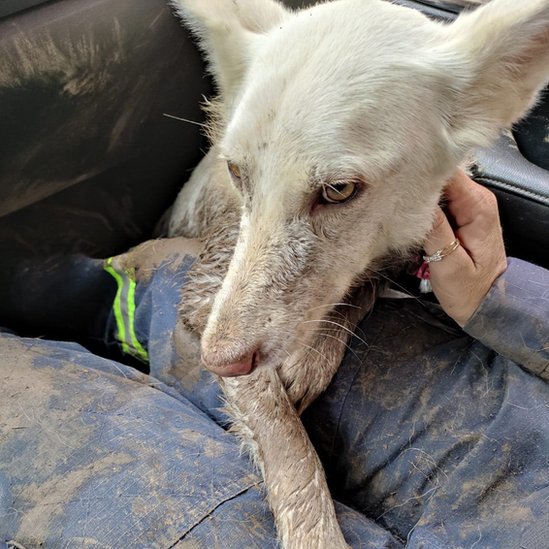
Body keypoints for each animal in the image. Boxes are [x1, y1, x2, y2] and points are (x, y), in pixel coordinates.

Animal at [167, 1, 548, 548]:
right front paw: (315, 532)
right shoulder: (206, 295)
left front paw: (313, 357)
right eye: (237, 173)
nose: (216, 359)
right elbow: (287, 443)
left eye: (340, 190)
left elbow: (358, 290)